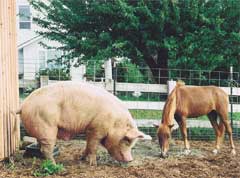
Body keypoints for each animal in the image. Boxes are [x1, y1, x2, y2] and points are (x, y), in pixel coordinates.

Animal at [15, 81, 150, 165]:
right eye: (127, 140)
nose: (130, 160)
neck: (115, 122)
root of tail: (23, 105)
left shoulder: (90, 129)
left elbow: (88, 145)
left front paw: (82, 158)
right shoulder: (96, 128)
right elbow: (93, 145)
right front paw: (93, 164)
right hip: (47, 127)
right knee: (46, 149)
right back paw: (55, 166)